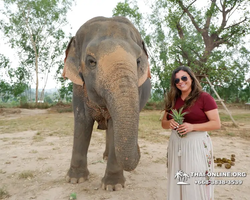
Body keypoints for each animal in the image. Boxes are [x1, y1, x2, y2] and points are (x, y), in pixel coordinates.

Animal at [62, 15, 151, 191]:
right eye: (91, 61)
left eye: (138, 61)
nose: (138, 149)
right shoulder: (78, 86)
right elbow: (82, 121)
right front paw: (75, 180)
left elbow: (114, 125)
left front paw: (113, 186)